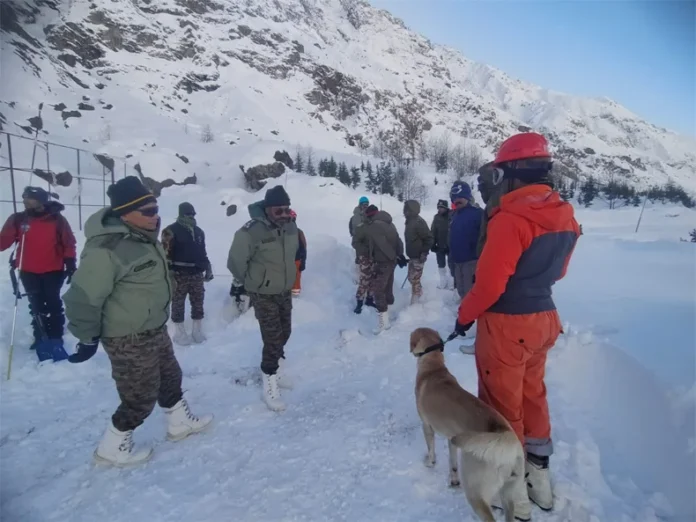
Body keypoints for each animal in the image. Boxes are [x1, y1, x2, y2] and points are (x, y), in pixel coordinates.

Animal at [408, 324, 528, 520]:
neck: (434, 368)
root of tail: (505, 436)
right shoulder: (451, 438)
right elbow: (452, 464)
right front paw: (453, 480)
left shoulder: (426, 425)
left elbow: (431, 449)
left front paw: (430, 462)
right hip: (509, 492)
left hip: (475, 490)